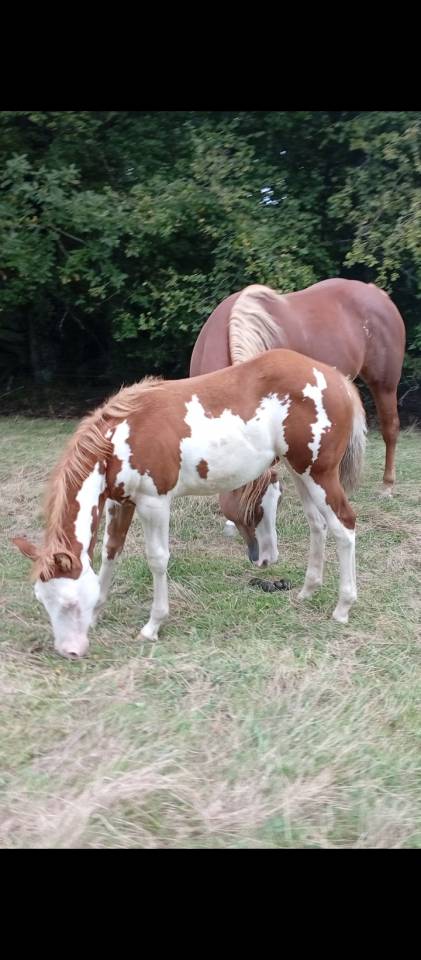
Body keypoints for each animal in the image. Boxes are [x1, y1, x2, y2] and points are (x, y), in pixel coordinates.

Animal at [12, 348, 366, 659]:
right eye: (43, 601)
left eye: (69, 603)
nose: (69, 651)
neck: (120, 440)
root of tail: (337, 378)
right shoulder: (119, 502)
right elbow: (110, 551)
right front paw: (98, 611)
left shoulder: (154, 503)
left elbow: (157, 559)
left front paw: (153, 625)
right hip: (299, 472)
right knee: (317, 524)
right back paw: (307, 591)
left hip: (320, 474)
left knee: (344, 526)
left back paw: (343, 606)